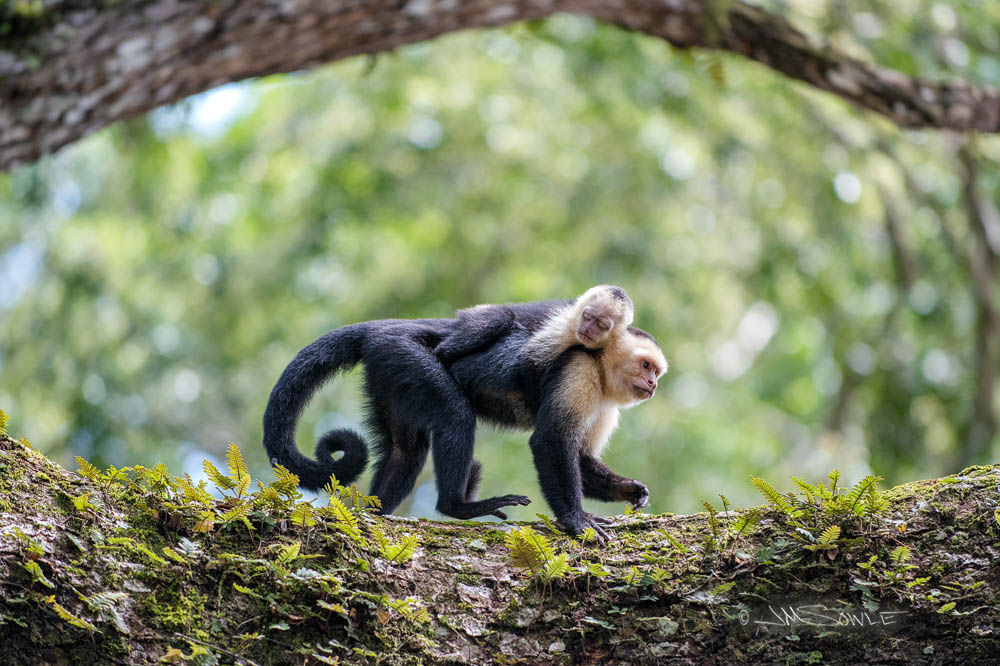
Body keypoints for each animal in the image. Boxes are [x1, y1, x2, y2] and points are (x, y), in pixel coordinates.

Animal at [262, 288, 666, 541]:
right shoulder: (578, 368)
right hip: (406, 355)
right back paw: (457, 507)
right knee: (455, 413)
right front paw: (577, 521)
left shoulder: (606, 404)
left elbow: (580, 457)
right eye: (645, 365)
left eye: (657, 372)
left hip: (388, 371)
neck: (601, 368)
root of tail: (388, 327)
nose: (652, 384)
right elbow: (550, 442)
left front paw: (629, 489)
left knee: (406, 450)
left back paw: (374, 514)